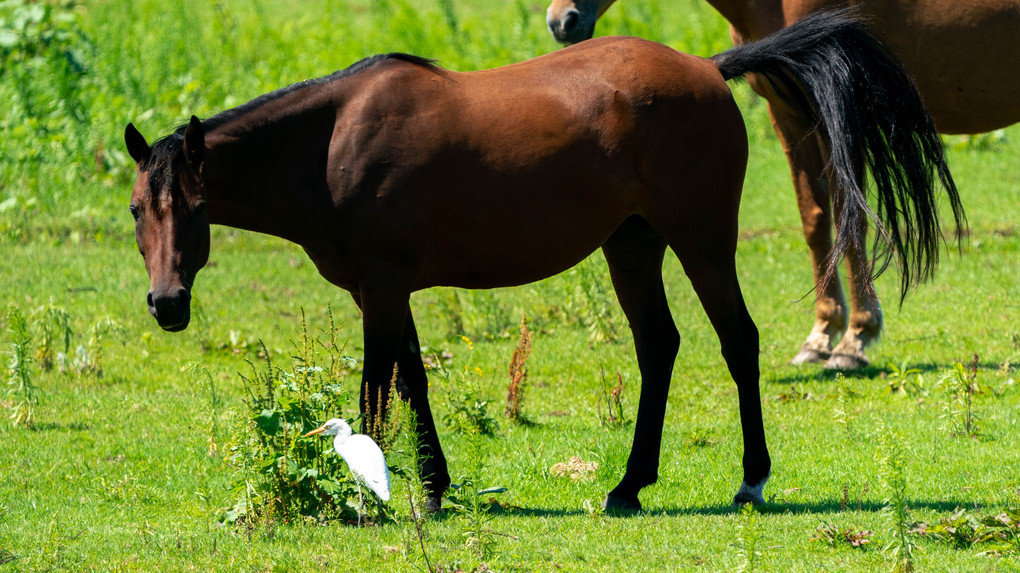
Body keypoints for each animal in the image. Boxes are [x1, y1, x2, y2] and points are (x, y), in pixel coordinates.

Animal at [123, 10, 958, 507]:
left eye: (193, 208)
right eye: (138, 209)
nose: (166, 305)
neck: (332, 144)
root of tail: (707, 67)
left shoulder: (382, 289)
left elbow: (374, 390)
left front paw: (363, 492)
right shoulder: (386, 291)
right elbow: (413, 380)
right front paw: (435, 485)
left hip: (700, 239)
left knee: (737, 340)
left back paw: (751, 478)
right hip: (632, 245)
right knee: (660, 346)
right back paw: (628, 484)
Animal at [550, 0, 1020, 367]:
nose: (560, 20)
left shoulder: (838, 112)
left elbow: (852, 220)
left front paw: (856, 339)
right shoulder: (789, 114)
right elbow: (815, 218)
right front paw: (822, 334)